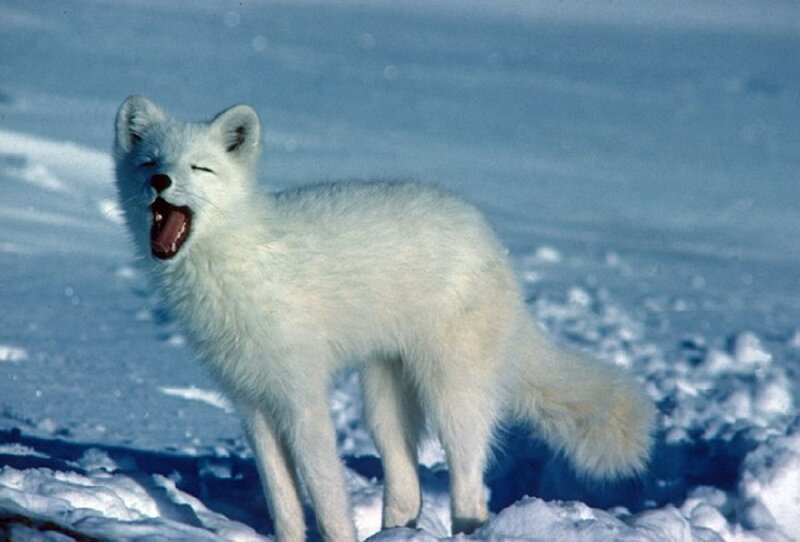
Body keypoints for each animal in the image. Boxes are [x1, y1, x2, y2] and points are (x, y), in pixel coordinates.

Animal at [113, 95, 655, 541]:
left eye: (200, 167)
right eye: (149, 162)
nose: (160, 182)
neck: (238, 262)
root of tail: (490, 240)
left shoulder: (303, 399)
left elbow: (326, 497)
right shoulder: (253, 405)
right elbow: (283, 503)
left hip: (451, 394)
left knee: (469, 487)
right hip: (384, 400)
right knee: (407, 488)